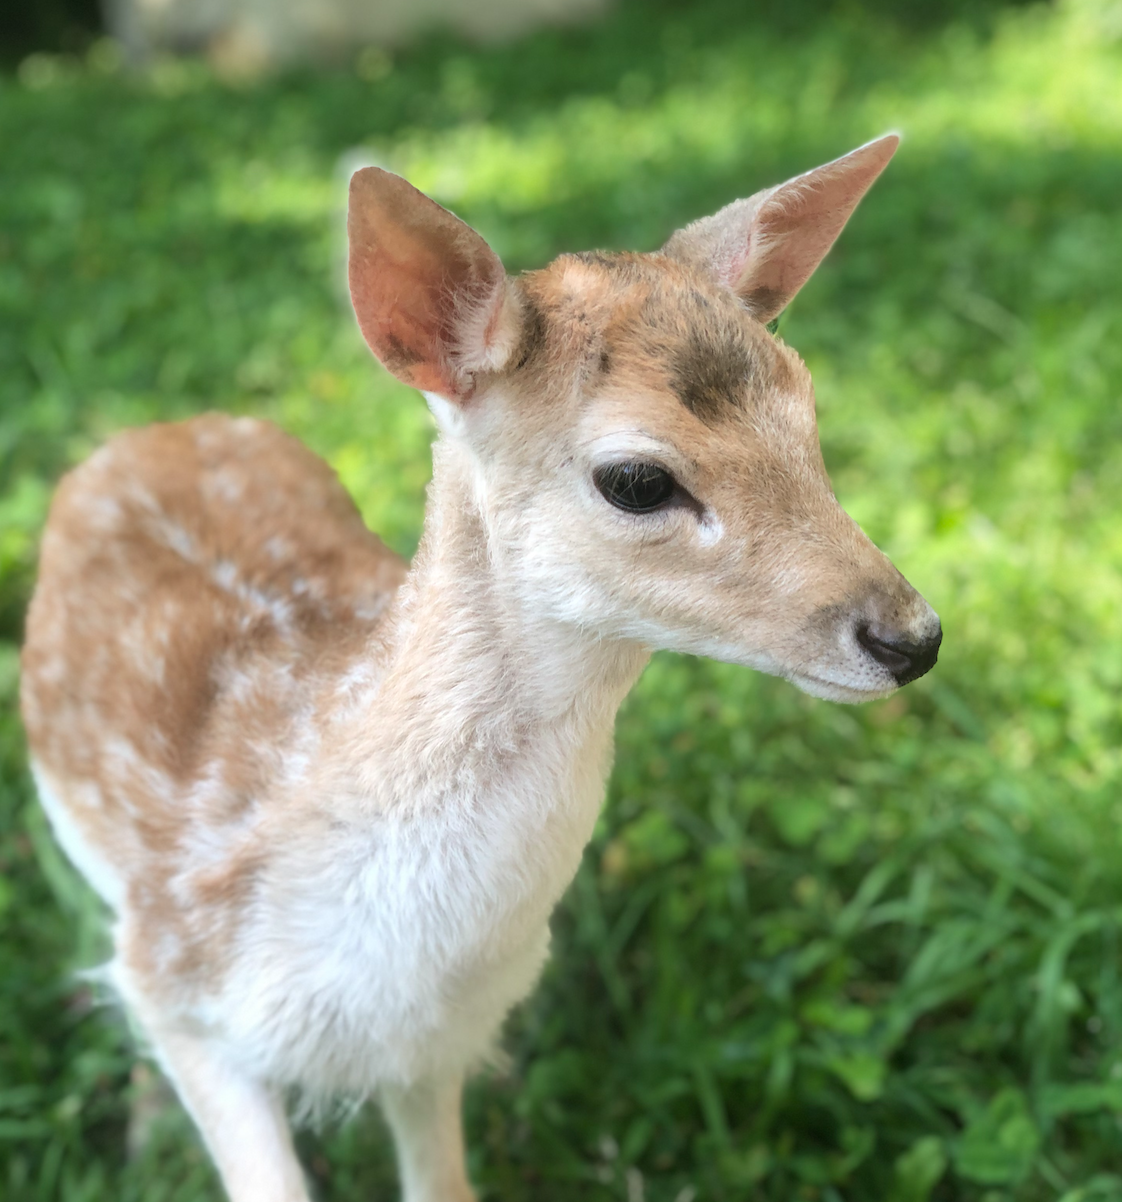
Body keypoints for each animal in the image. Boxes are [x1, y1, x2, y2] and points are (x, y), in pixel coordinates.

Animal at [20, 133, 940, 1202]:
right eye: (637, 479)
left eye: (810, 417)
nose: (913, 637)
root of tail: (159, 426)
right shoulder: (181, 971)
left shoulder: (436, 1043)